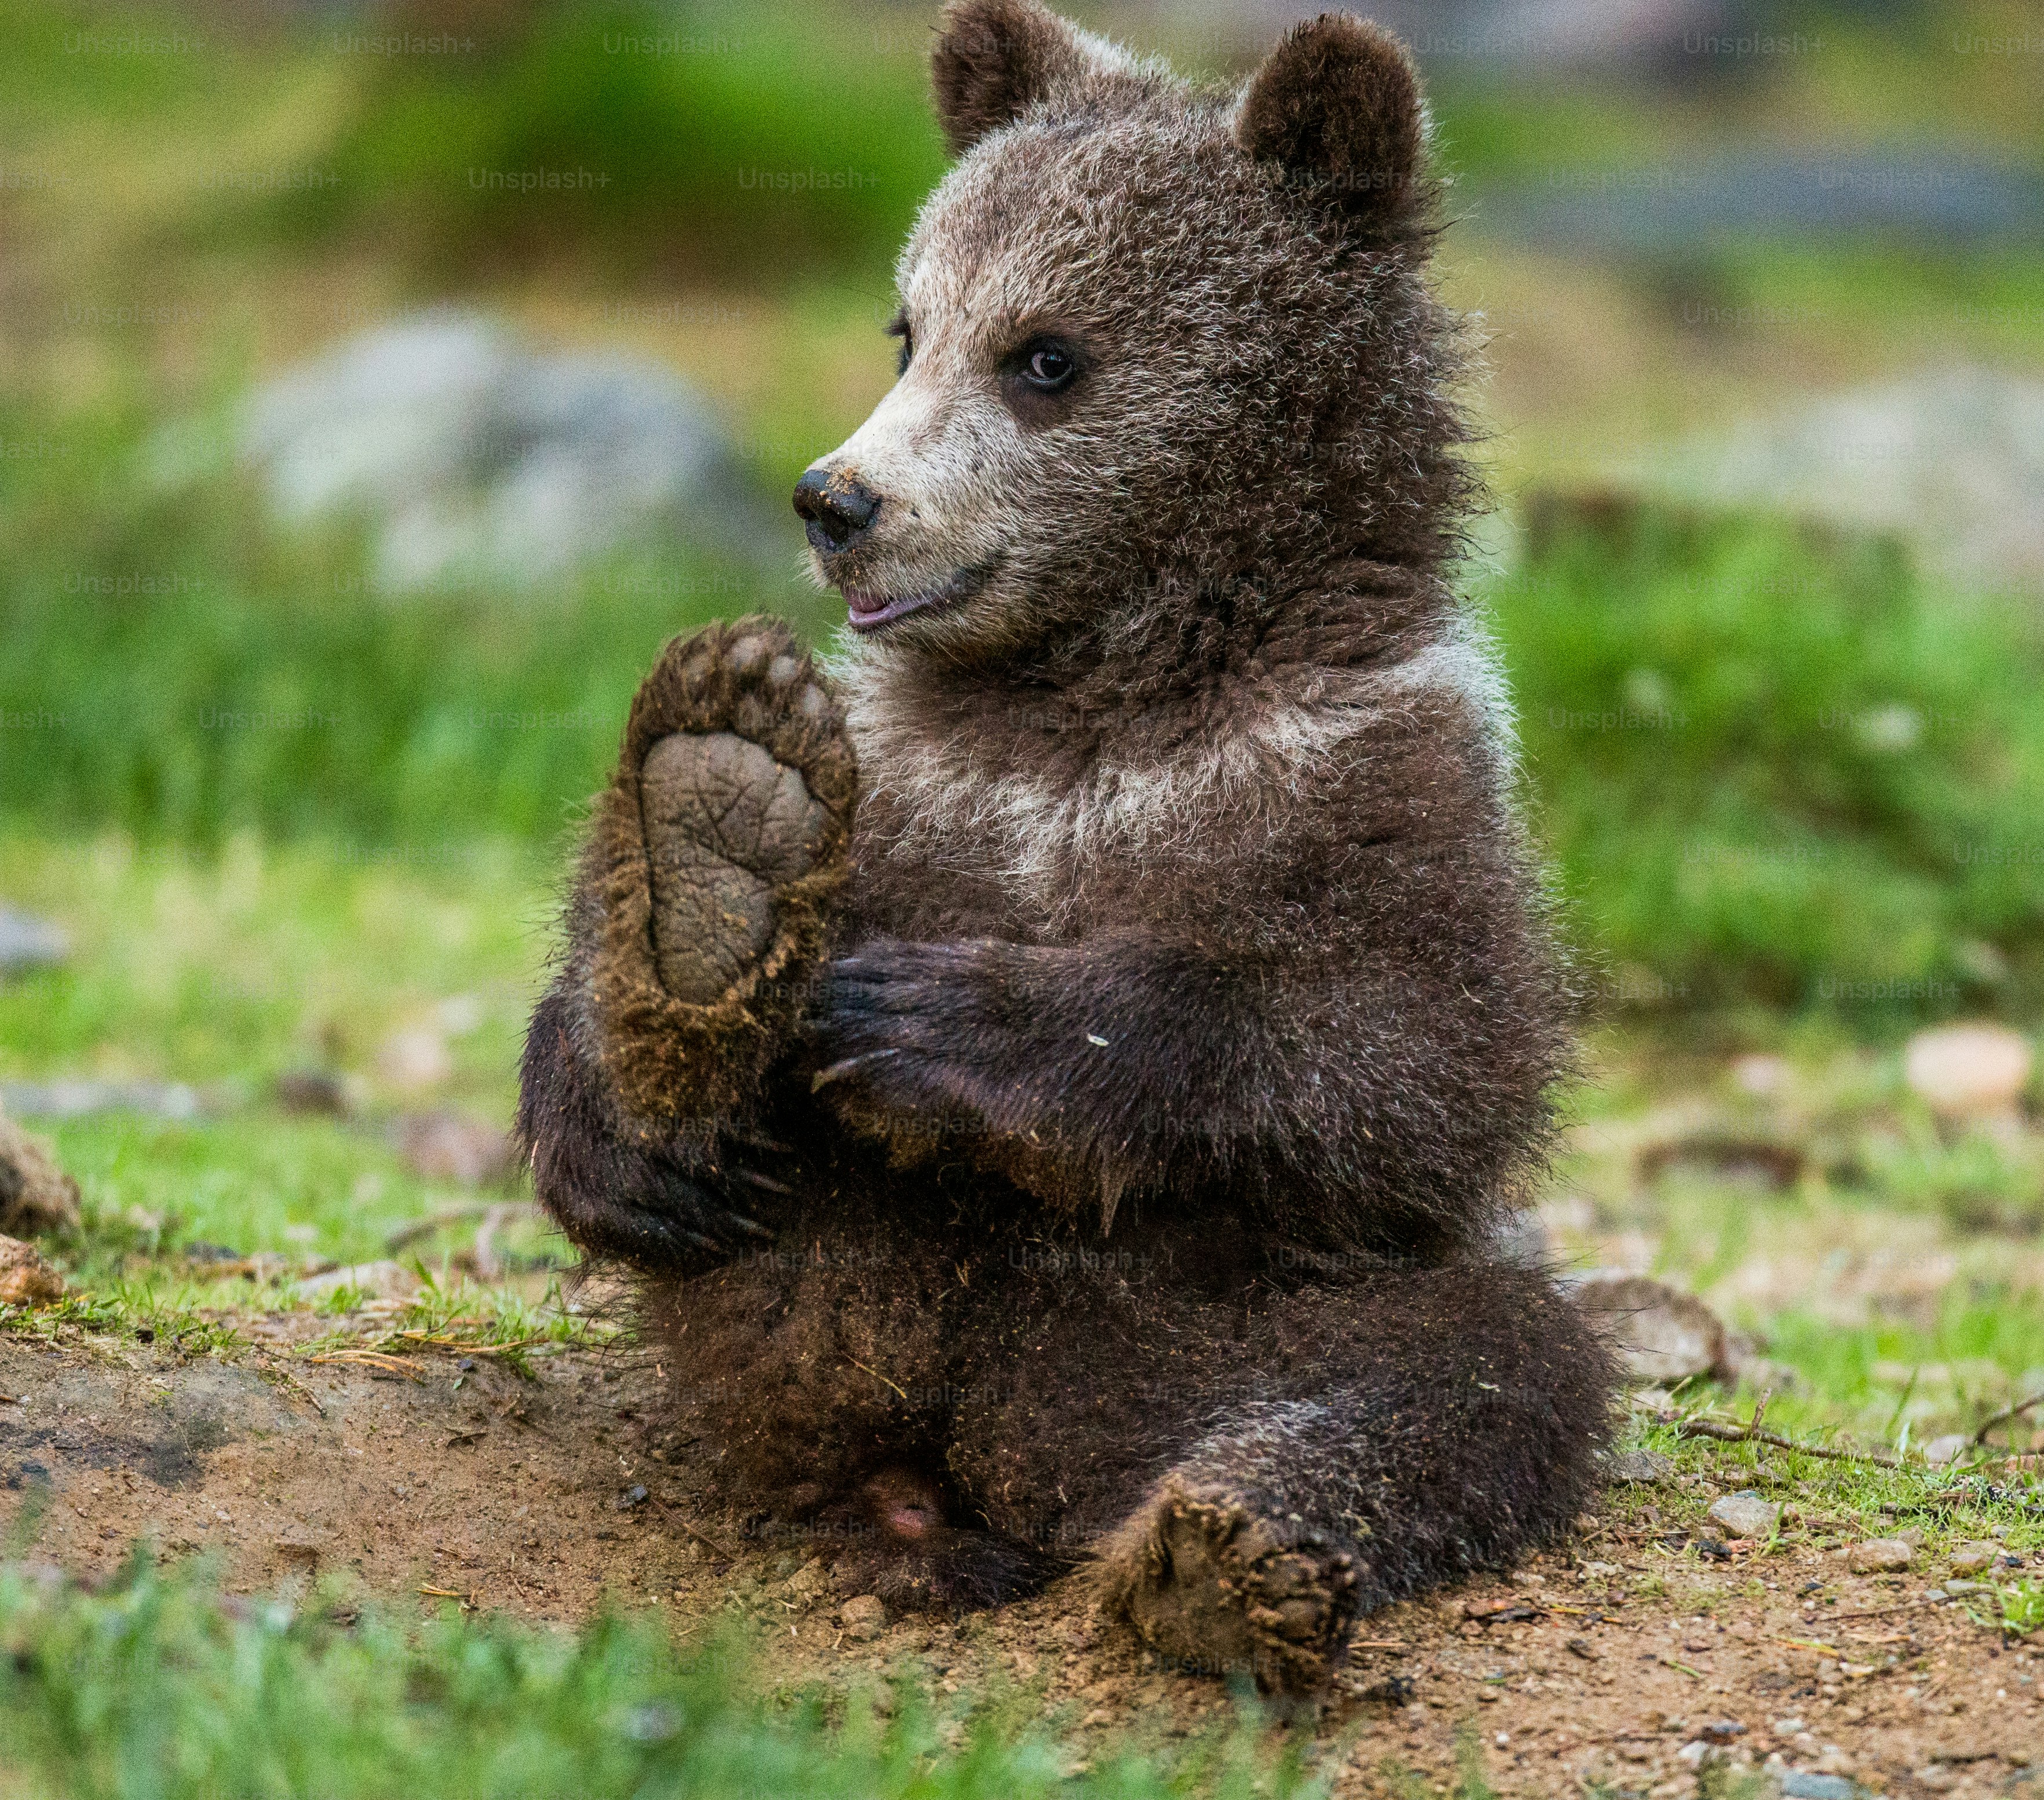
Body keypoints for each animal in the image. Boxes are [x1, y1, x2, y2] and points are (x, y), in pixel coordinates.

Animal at [517, 0, 1616, 1698]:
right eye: (907, 326)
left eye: (1046, 353)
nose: (838, 498)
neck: (1097, 684)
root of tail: (972, 1446)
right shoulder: (914, 781)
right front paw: (610, 1121)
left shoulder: (1377, 775)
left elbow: (1409, 1054)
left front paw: (936, 1019)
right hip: (815, 1267)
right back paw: (711, 847)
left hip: (1224, 1314)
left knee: (1486, 1366)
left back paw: (1225, 1555)